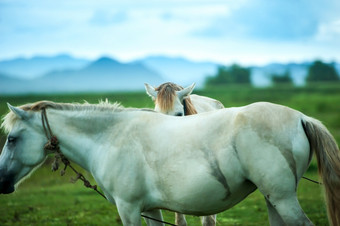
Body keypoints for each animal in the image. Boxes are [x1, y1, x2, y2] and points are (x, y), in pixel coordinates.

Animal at [0, 101, 340, 226]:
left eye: (12, 139)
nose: (1, 181)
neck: (111, 137)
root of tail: (301, 117)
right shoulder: (150, 209)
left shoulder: (129, 209)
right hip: (273, 199)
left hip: (282, 199)